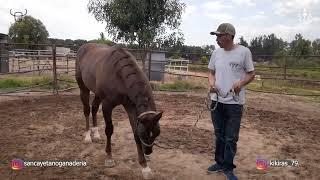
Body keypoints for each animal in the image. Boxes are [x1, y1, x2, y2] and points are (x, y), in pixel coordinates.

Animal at [75, 43, 162, 178]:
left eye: (156, 133)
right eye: (144, 134)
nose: (148, 151)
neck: (119, 75)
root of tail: (83, 48)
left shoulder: (131, 107)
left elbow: (134, 132)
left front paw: (145, 167)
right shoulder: (107, 106)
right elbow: (109, 130)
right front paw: (109, 157)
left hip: (98, 94)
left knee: (94, 108)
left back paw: (96, 134)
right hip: (83, 88)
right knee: (87, 110)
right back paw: (88, 136)